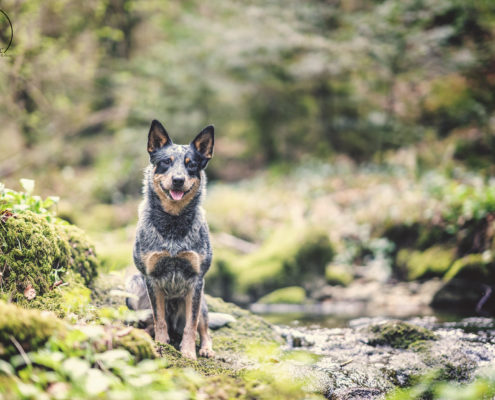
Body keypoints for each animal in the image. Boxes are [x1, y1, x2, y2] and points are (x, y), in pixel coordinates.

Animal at [126, 119, 215, 360]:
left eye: (191, 165)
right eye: (166, 162)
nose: (178, 180)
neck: (173, 223)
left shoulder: (196, 280)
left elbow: (191, 325)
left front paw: (188, 352)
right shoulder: (151, 277)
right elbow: (160, 320)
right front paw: (161, 343)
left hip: (203, 302)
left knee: (204, 328)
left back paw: (205, 349)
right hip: (133, 289)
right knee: (149, 322)